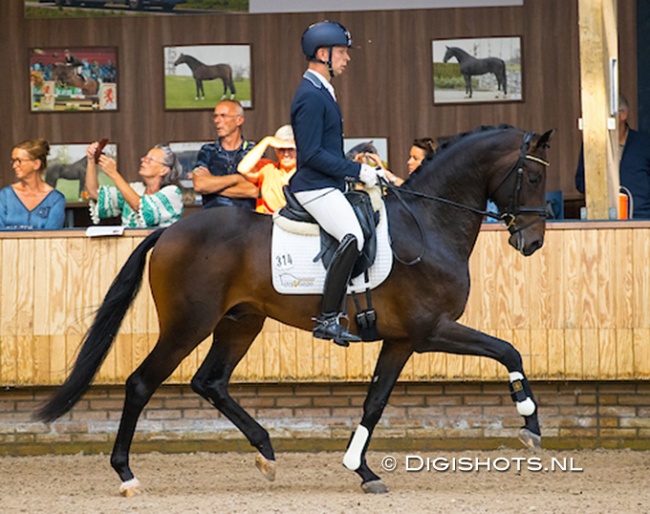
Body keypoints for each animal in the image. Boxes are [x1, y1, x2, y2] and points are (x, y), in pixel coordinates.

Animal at [35, 124, 552, 492]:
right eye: (534, 175)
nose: (533, 242)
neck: (427, 223)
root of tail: (169, 231)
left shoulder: (402, 340)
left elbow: (375, 402)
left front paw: (361, 469)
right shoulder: (431, 330)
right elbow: (508, 350)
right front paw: (530, 424)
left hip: (241, 322)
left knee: (210, 382)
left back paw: (265, 452)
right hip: (188, 325)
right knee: (142, 383)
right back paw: (127, 475)